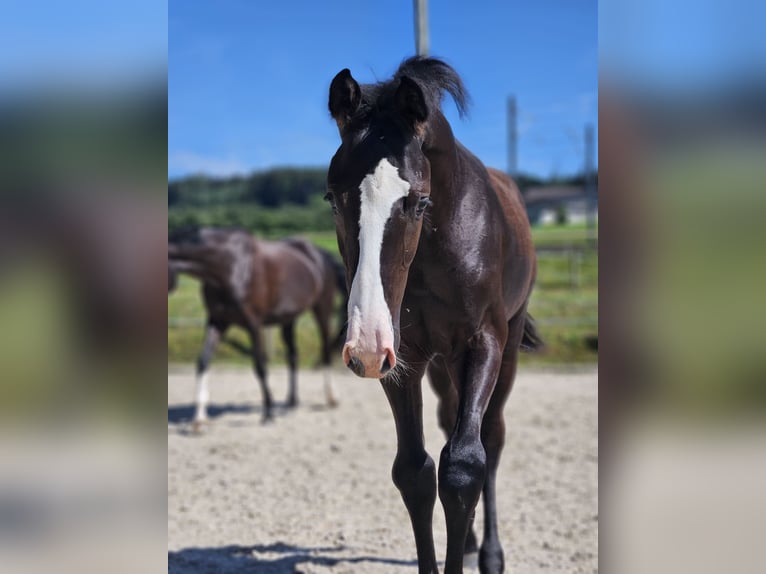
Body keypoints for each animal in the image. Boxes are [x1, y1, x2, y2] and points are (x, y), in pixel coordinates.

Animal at [170, 230, 348, 428]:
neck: (229, 266)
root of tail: (319, 253)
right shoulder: (217, 322)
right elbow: (203, 362)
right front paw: (199, 419)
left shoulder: (253, 325)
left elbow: (260, 366)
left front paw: (268, 413)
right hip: (289, 318)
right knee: (293, 355)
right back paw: (292, 401)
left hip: (322, 309)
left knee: (325, 350)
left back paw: (331, 397)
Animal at [328, 59, 544, 574]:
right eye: (331, 197)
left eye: (418, 202)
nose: (365, 344)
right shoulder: (402, 357)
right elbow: (415, 471)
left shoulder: (482, 343)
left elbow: (464, 465)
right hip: (442, 365)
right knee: (452, 423)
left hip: (503, 351)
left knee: (491, 436)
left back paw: (488, 553)